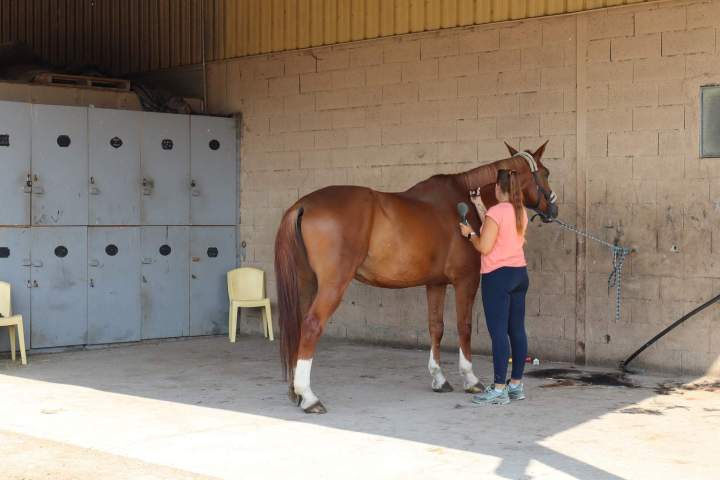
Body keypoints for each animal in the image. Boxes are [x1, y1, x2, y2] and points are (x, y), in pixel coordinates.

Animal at [274, 141, 558, 413]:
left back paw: (295, 393)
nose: (553, 209)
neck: (463, 203)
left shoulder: (435, 283)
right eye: (545, 173)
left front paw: (439, 379)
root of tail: (303, 205)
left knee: (298, 325)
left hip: (307, 283)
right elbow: (464, 326)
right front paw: (470, 379)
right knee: (311, 326)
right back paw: (309, 398)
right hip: (332, 285)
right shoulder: (466, 281)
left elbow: (436, 327)